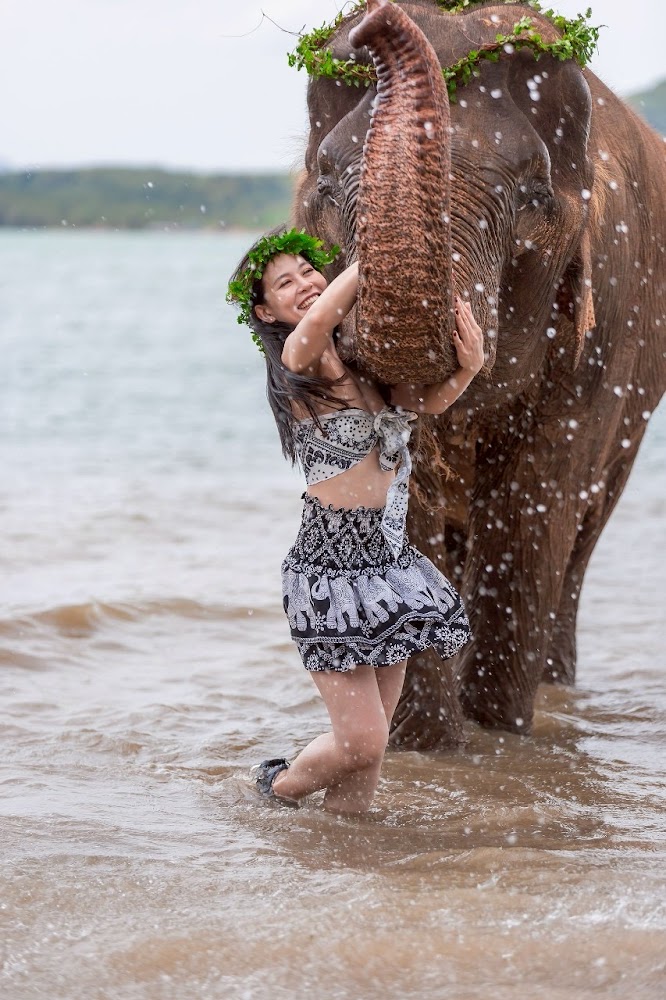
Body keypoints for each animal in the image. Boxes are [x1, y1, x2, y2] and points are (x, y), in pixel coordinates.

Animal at [291, 0, 666, 747]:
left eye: (533, 197)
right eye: (325, 183)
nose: (371, 23)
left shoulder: (604, 326)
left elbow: (531, 502)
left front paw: (496, 735)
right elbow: (409, 490)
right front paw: (427, 748)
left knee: (579, 536)